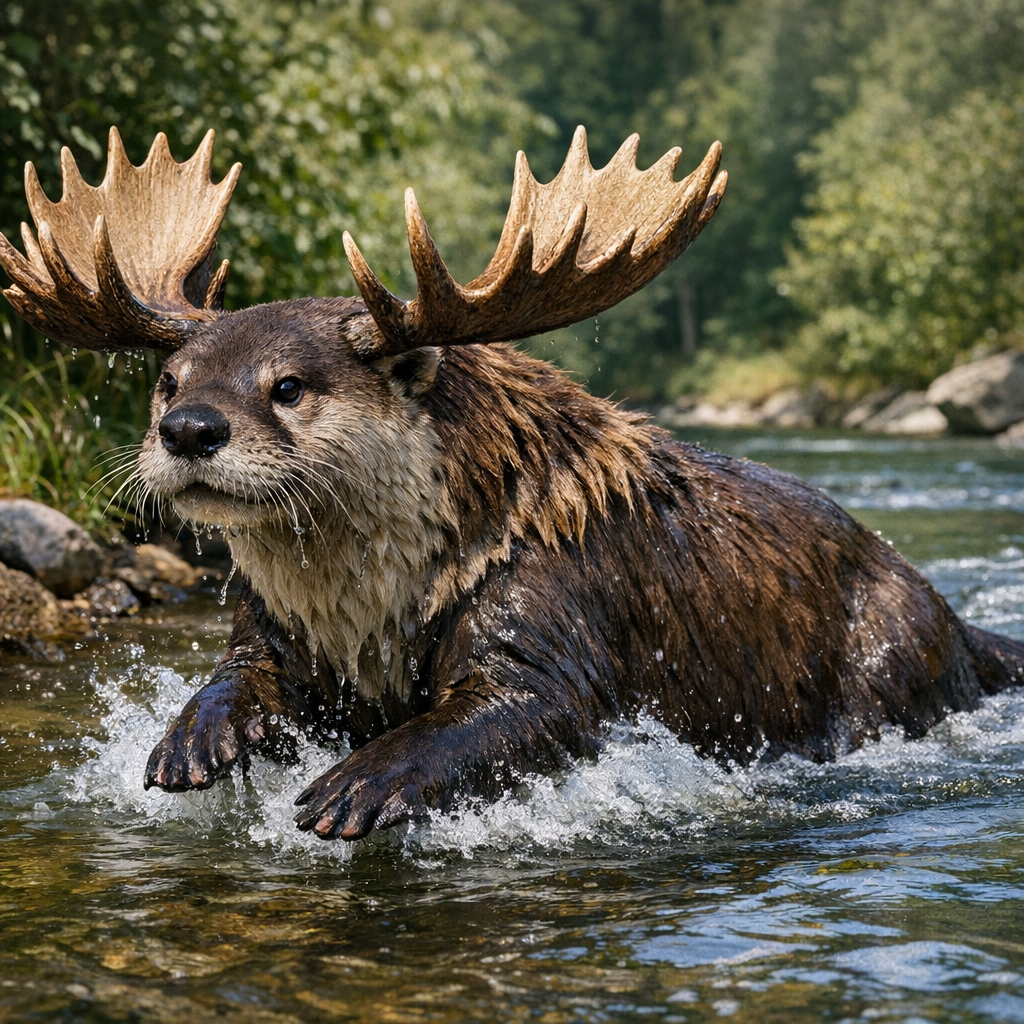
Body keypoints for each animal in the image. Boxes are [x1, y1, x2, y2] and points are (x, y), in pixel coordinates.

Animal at [1, 128, 1021, 841]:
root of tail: (945, 613)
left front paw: (356, 785)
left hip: (886, 657)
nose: (189, 430)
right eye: (169, 382)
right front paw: (191, 740)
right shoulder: (270, 624)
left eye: (288, 385)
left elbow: (522, 708)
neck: (378, 607)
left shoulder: (550, 613)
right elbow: (236, 674)